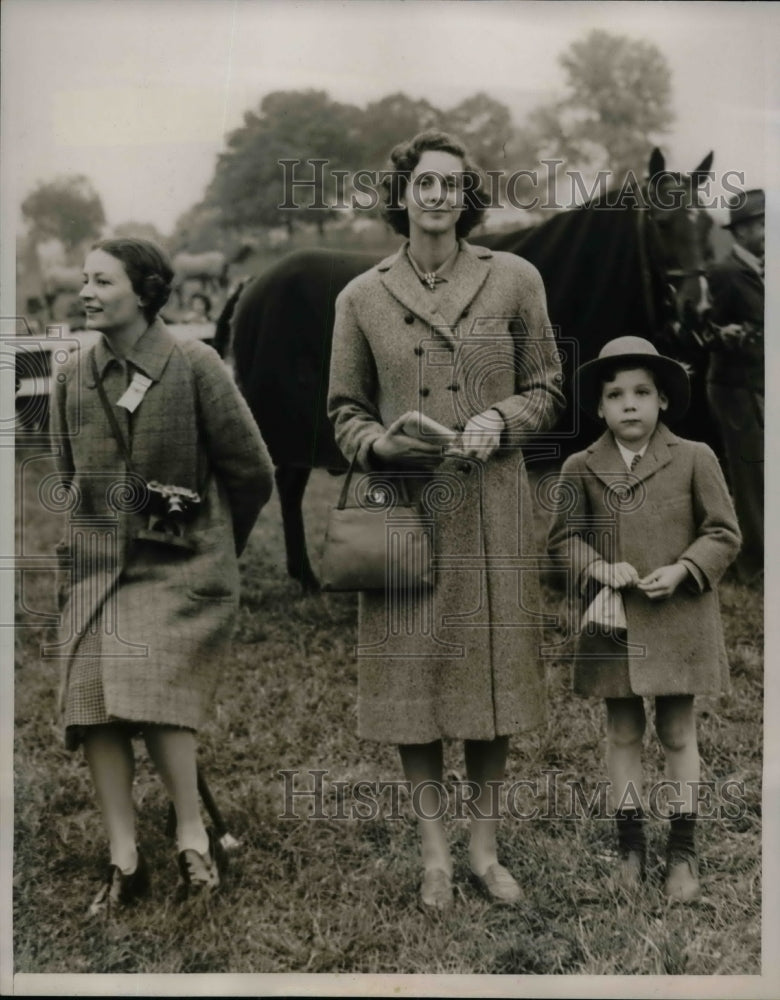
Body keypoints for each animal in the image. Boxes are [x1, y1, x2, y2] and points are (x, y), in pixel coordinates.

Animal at [225, 148, 712, 592]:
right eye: (661, 221)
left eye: (705, 222)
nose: (698, 309)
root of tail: (252, 286)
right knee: (284, 485)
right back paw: (302, 577)